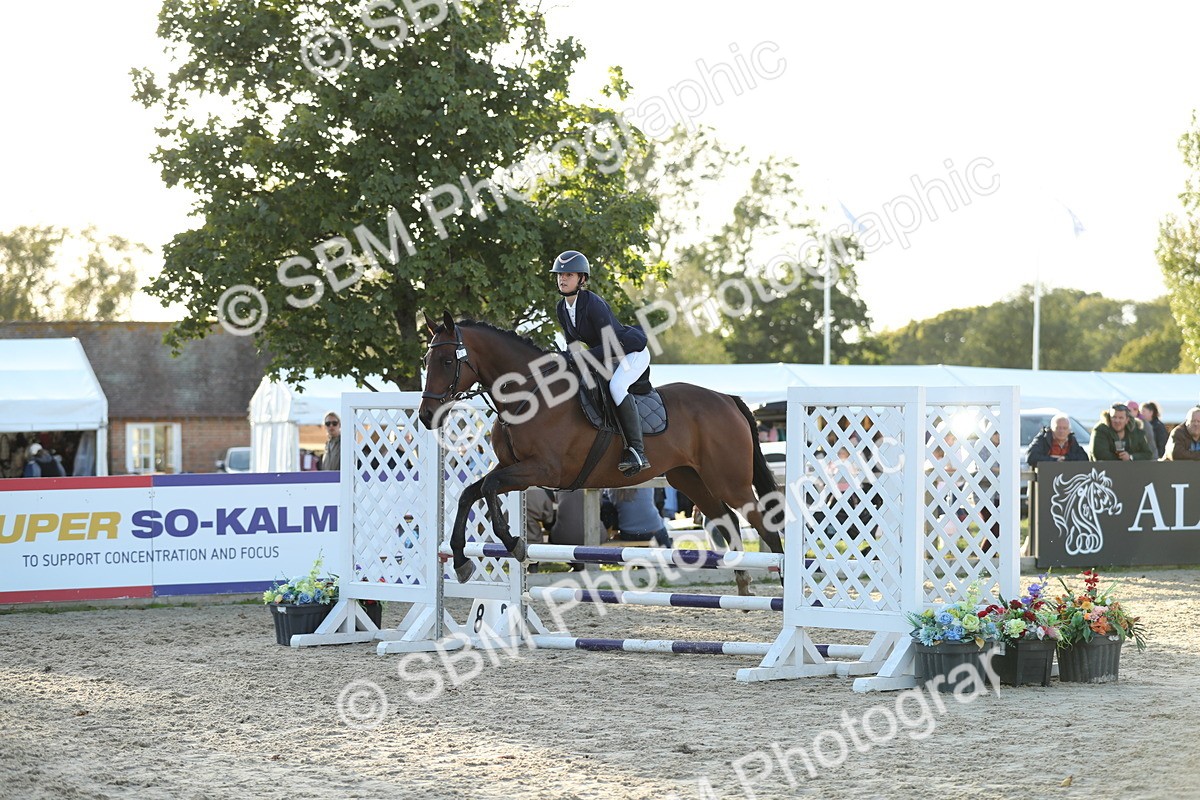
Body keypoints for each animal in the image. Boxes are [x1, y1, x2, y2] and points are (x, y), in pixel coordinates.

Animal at [418, 312, 784, 594]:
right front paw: (461, 561)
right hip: (690, 478)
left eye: (447, 361)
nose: (425, 416)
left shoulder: (542, 470)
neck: (529, 395)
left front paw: (513, 543)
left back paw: (780, 583)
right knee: (728, 520)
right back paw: (743, 582)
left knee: (760, 521)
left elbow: (489, 487)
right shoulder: (515, 469)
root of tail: (726, 398)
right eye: (425, 361)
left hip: (729, 480)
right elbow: (471, 492)